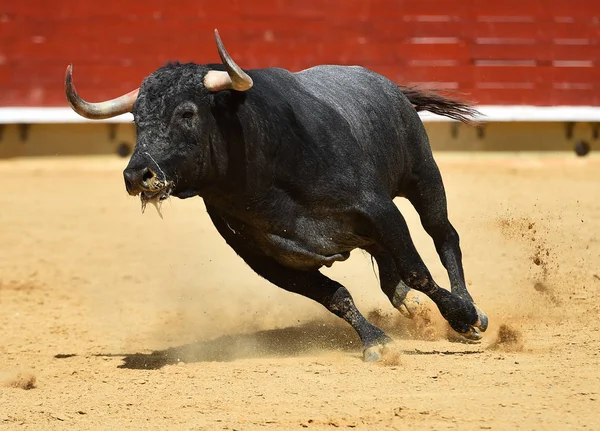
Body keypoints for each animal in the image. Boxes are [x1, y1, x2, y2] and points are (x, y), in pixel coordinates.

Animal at [64, 29, 488, 362]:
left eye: (186, 113)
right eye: (137, 118)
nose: (137, 174)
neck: (264, 177)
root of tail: (387, 86)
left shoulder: (379, 210)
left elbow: (418, 270)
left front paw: (464, 317)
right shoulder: (265, 259)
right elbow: (334, 295)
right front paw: (376, 343)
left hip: (423, 178)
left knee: (443, 236)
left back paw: (469, 309)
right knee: (389, 272)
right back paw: (413, 308)